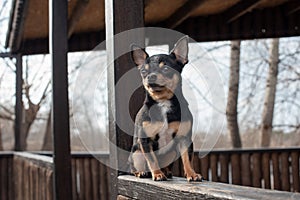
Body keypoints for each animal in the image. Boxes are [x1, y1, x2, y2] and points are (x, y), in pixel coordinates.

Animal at [127, 36, 203, 181]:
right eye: (143, 71)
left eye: (166, 69)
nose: (150, 76)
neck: (162, 102)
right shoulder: (145, 141)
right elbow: (152, 160)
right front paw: (157, 174)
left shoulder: (184, 139)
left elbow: (187, 159)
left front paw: (192, 174)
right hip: (137, 152)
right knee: (135, 166)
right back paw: (142, 172)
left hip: (172, 152)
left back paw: (166, 171)